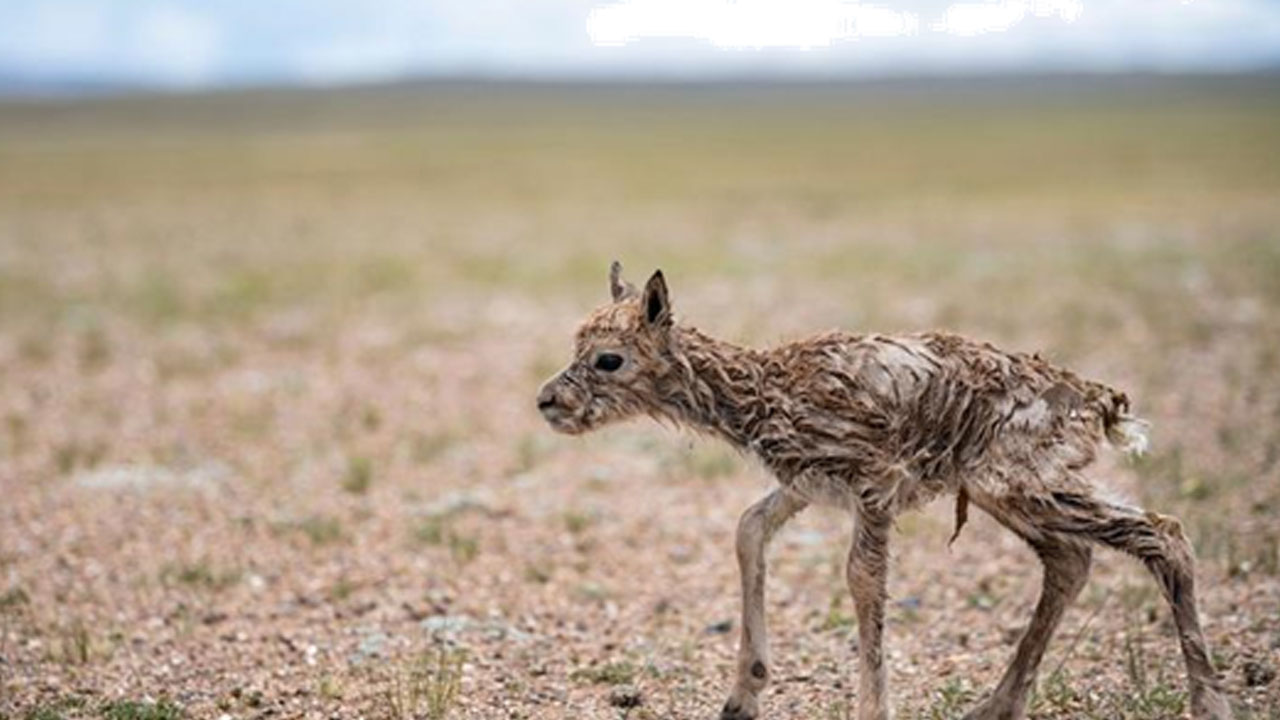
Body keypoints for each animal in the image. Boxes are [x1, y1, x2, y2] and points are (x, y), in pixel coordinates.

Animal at [537, 263, 1228, 717]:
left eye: (608, 359)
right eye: (576, 344)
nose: (547, 401)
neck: (765, 388)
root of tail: (1096, 398)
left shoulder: (872, 486)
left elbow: (862, 580)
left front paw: (870, 706)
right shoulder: (807, 484)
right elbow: (747, 530)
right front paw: (743, 693)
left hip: (1021, 482)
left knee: (1163, 534)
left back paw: (1209, 702)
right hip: (1005, 490)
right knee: (1072, 559)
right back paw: (996, 706)